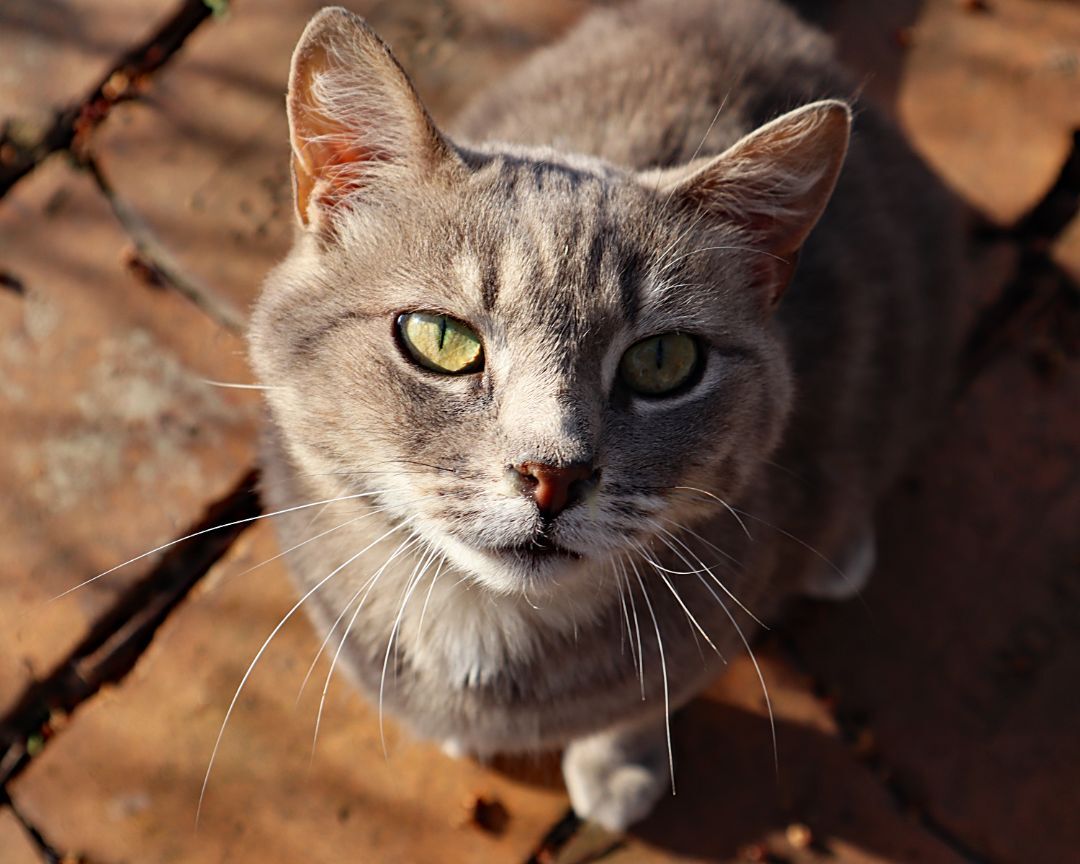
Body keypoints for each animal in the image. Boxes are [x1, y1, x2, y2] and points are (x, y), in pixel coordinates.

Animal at [250, 0, 963, 829]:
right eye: (441, 339)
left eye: (663, 362)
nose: (552, 474)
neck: (482, 621)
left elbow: (638, 707)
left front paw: (618, 768)